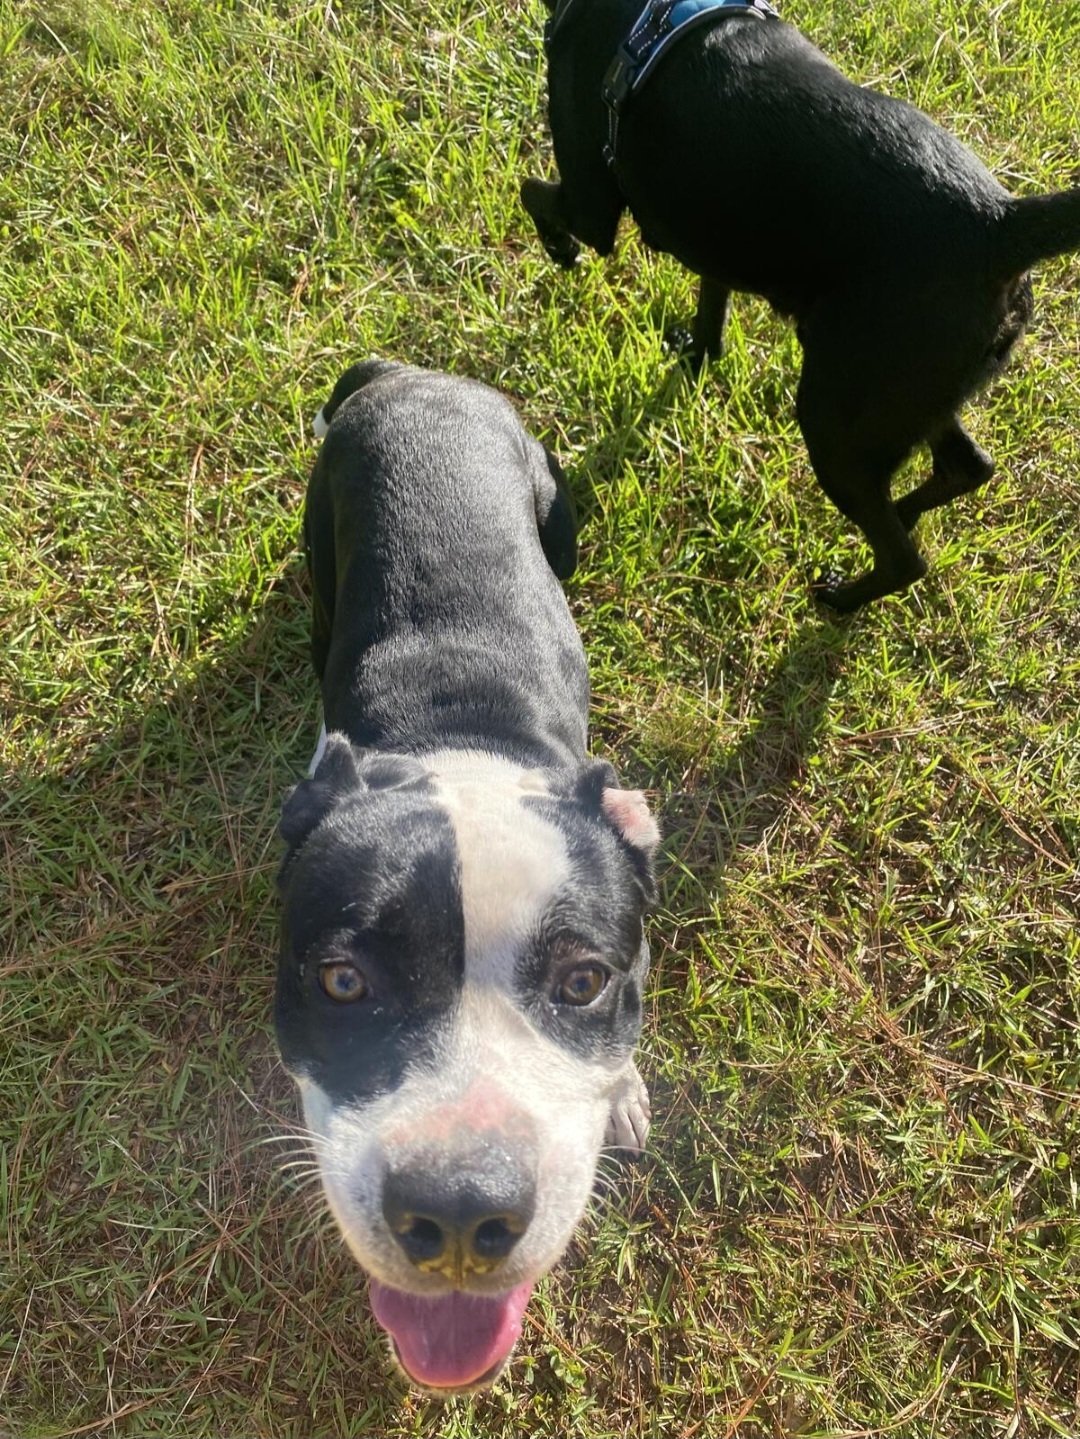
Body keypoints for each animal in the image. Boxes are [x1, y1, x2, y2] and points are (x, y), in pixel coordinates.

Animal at [274, 359, 658, 1392]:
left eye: (584, 980)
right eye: (342, 980)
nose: (454, 1210)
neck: (462, 745)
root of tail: (409, 373)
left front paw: (625, 1090)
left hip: (557, 512)